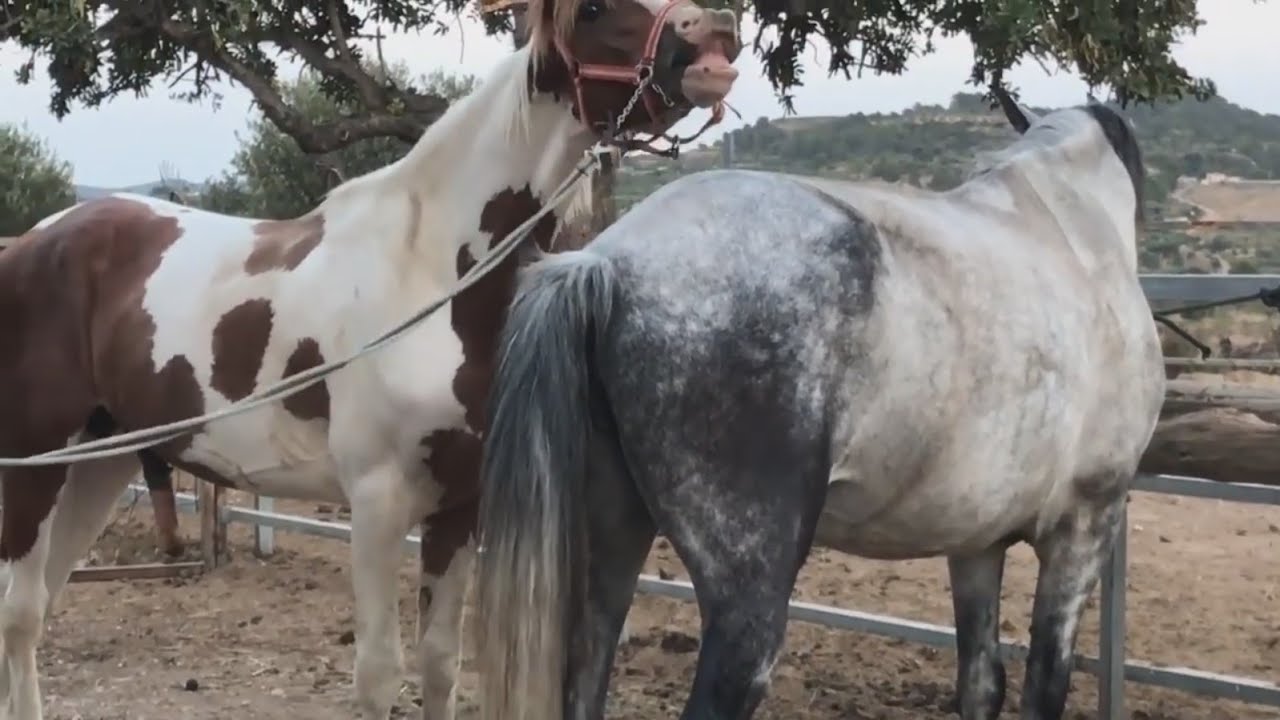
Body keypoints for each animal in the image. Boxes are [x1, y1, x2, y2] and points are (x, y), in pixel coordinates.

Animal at [474, 93, 1165, 720]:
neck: (1072, 234)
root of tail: (605, 263)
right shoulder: (1084, 525)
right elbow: (1045, 683)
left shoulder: (976, 543)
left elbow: (982, 683)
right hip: (747, 599)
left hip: (611, 548)